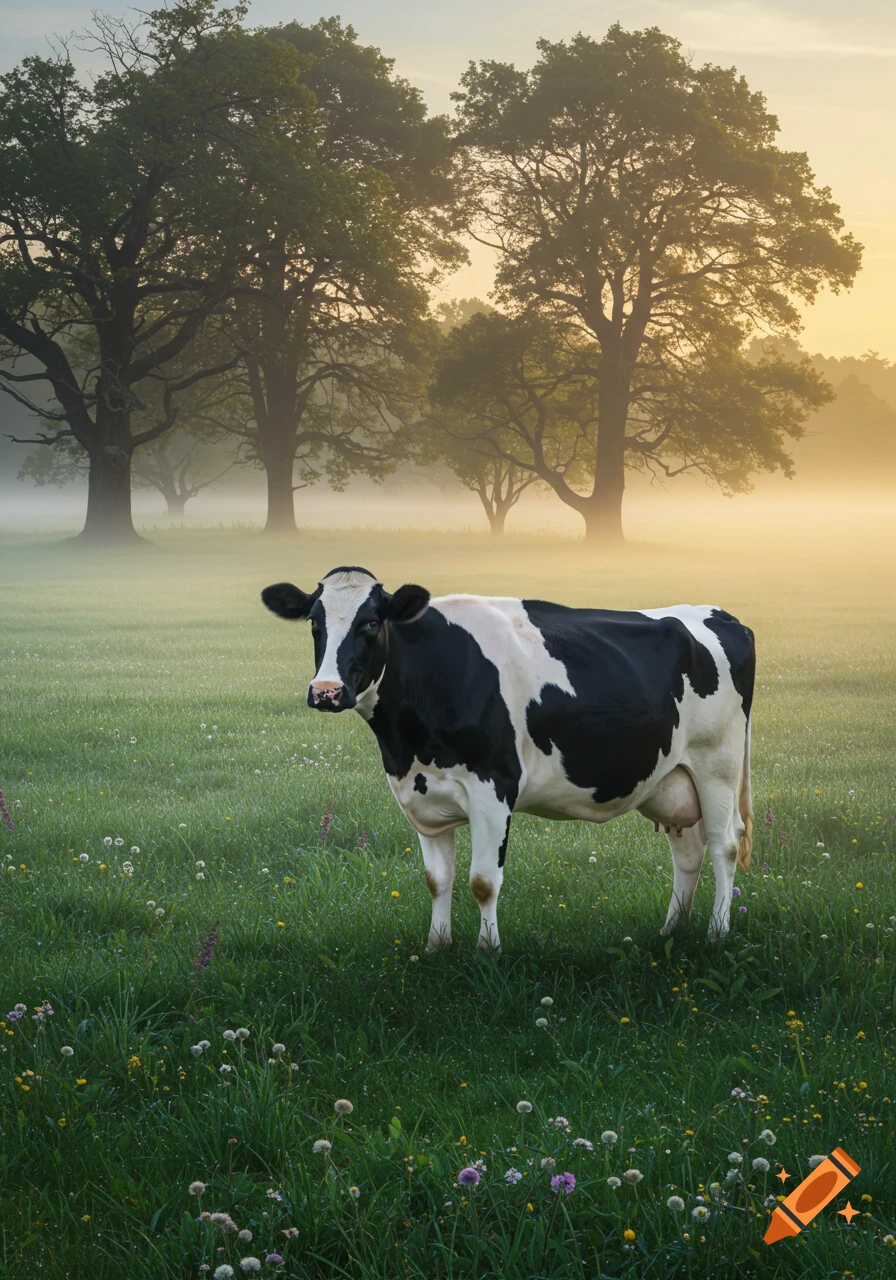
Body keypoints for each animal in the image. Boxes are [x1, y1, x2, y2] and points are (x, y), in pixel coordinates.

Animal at [262, 566, 755, 955]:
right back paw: (671, 931)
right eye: (314, 622)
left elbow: (483, 880)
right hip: (670, 778)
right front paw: (436, 947)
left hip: (717, 765)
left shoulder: (493, 786)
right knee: (687, 851)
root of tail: (721, 614)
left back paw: (716, 933)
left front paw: (487, 953)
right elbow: (437, 879)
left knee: (724, 844)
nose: (326, 692)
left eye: (369, 623)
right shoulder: (420, 791)